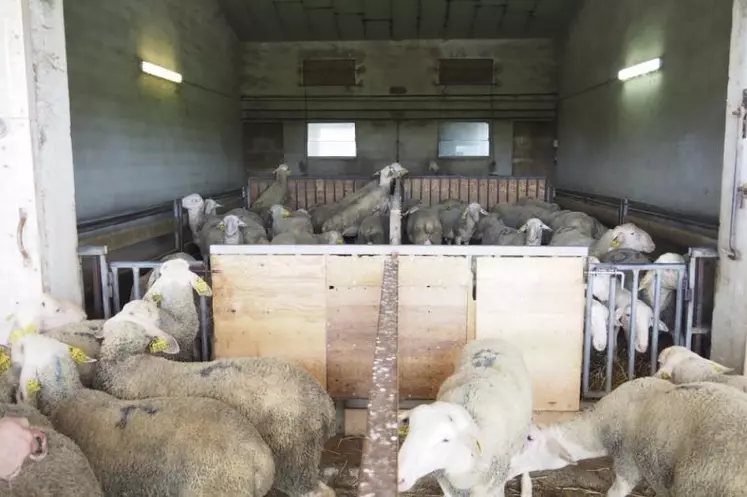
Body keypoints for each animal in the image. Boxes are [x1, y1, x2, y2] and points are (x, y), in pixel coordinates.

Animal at [400, 338, 536, 496]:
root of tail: (492, 339)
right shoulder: (447, 486)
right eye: (409, 430)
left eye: (446, 439)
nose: (400, 477)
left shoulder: (494, 486)